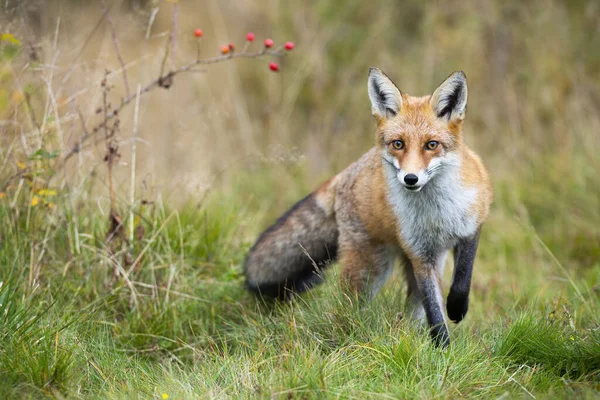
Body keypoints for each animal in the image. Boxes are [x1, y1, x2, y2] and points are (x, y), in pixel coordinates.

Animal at [244, 69, 492, 346]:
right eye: (398, 144)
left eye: (432, 145)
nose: (410, 179)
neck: (435, 212)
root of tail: (345, 173)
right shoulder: (420, 253)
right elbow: (435, 313)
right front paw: (443, 349)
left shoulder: (471, 227)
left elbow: (462, 280)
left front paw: (457, 309)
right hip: (371, 268)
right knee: (349, 305)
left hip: (422, 262)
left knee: (412, 309)